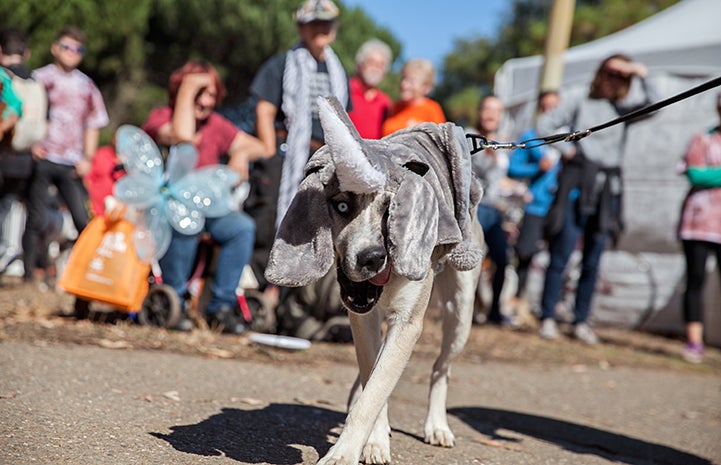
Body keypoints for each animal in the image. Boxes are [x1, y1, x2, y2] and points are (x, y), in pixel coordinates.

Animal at [264, 96, 484, 462]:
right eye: (341, 206)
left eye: (391, 210)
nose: (371, 258)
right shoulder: (362, 318)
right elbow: (373, 382)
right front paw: (374, 441)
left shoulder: (406, 325)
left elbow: (376, 390)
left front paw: (344, 453)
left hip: (461, 313)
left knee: (441, 368)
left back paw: (437, 426)